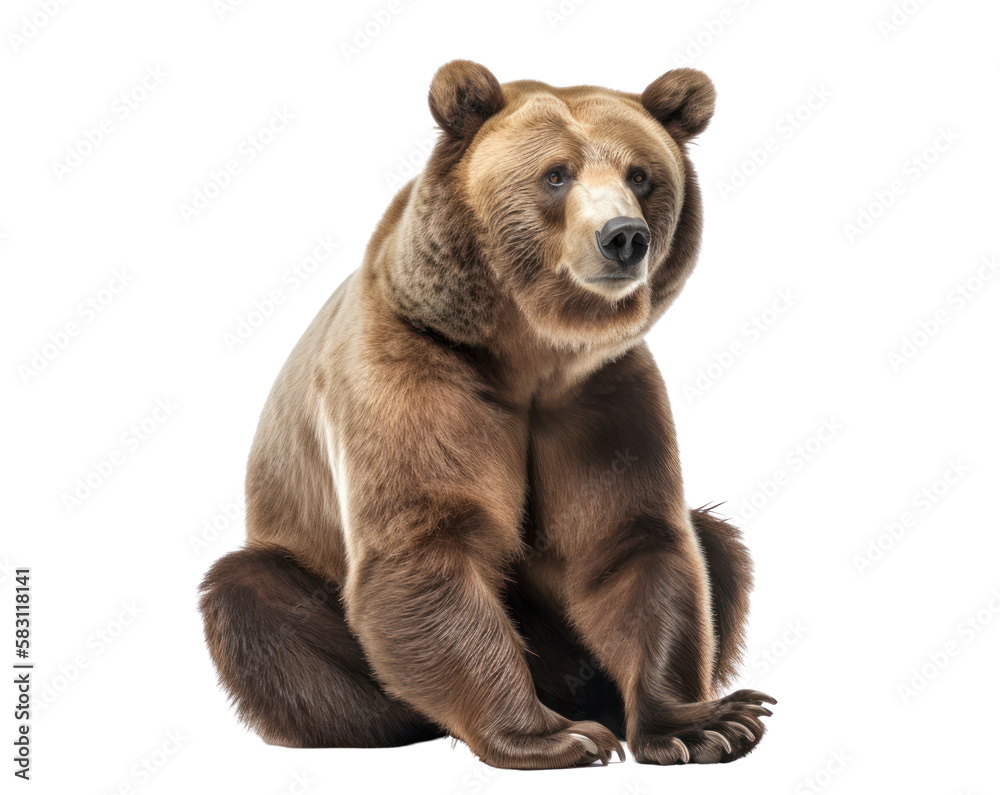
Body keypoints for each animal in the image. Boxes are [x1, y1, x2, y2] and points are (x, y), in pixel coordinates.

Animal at [199, 60, 775, 769]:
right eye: (556, 174)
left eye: (641, 174)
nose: (623, 237)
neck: (528, 353)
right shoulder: (415, 372)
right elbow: (429, 542)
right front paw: (554, 735)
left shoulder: (600, 396)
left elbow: (632, 540)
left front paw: (704, 724)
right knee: (251, 596)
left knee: (717, 542)